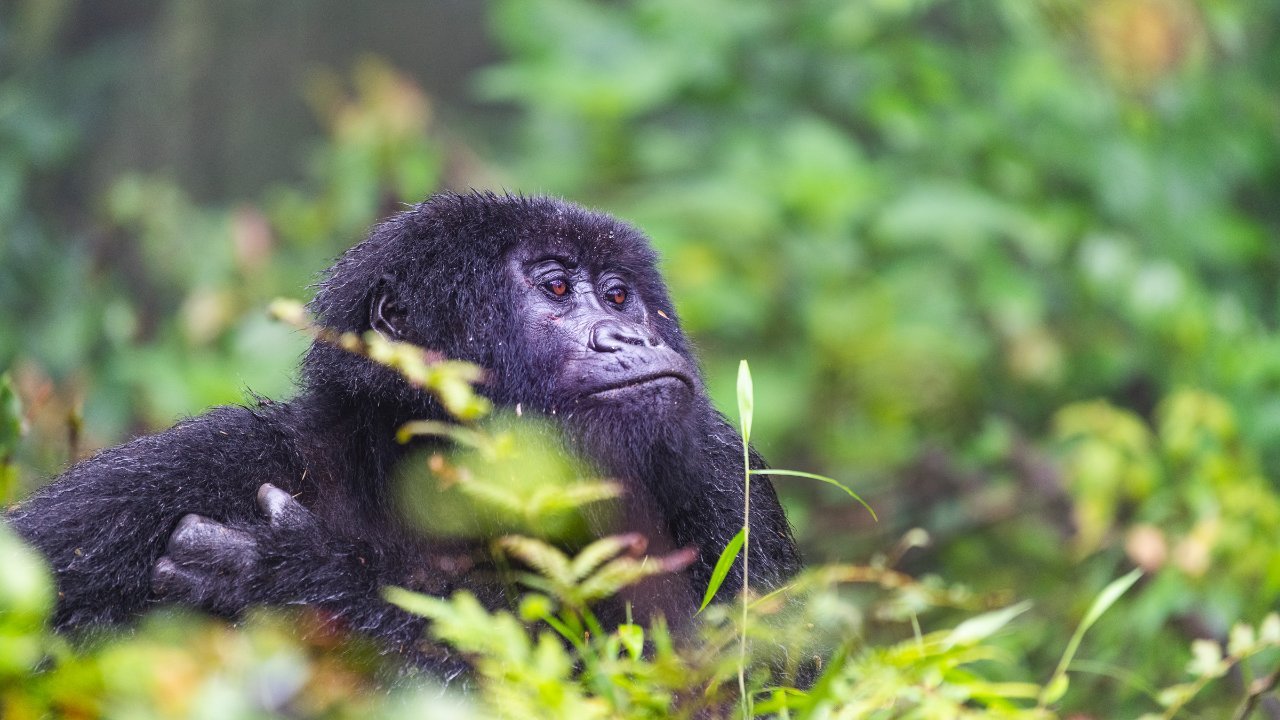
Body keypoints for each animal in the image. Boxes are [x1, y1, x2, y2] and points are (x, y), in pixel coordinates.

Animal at [5, 192, 793, 671]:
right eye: (557, 288)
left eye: (621, 294)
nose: (631, 334)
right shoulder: (186, 466)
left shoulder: (723, 475)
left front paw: (297, 579)